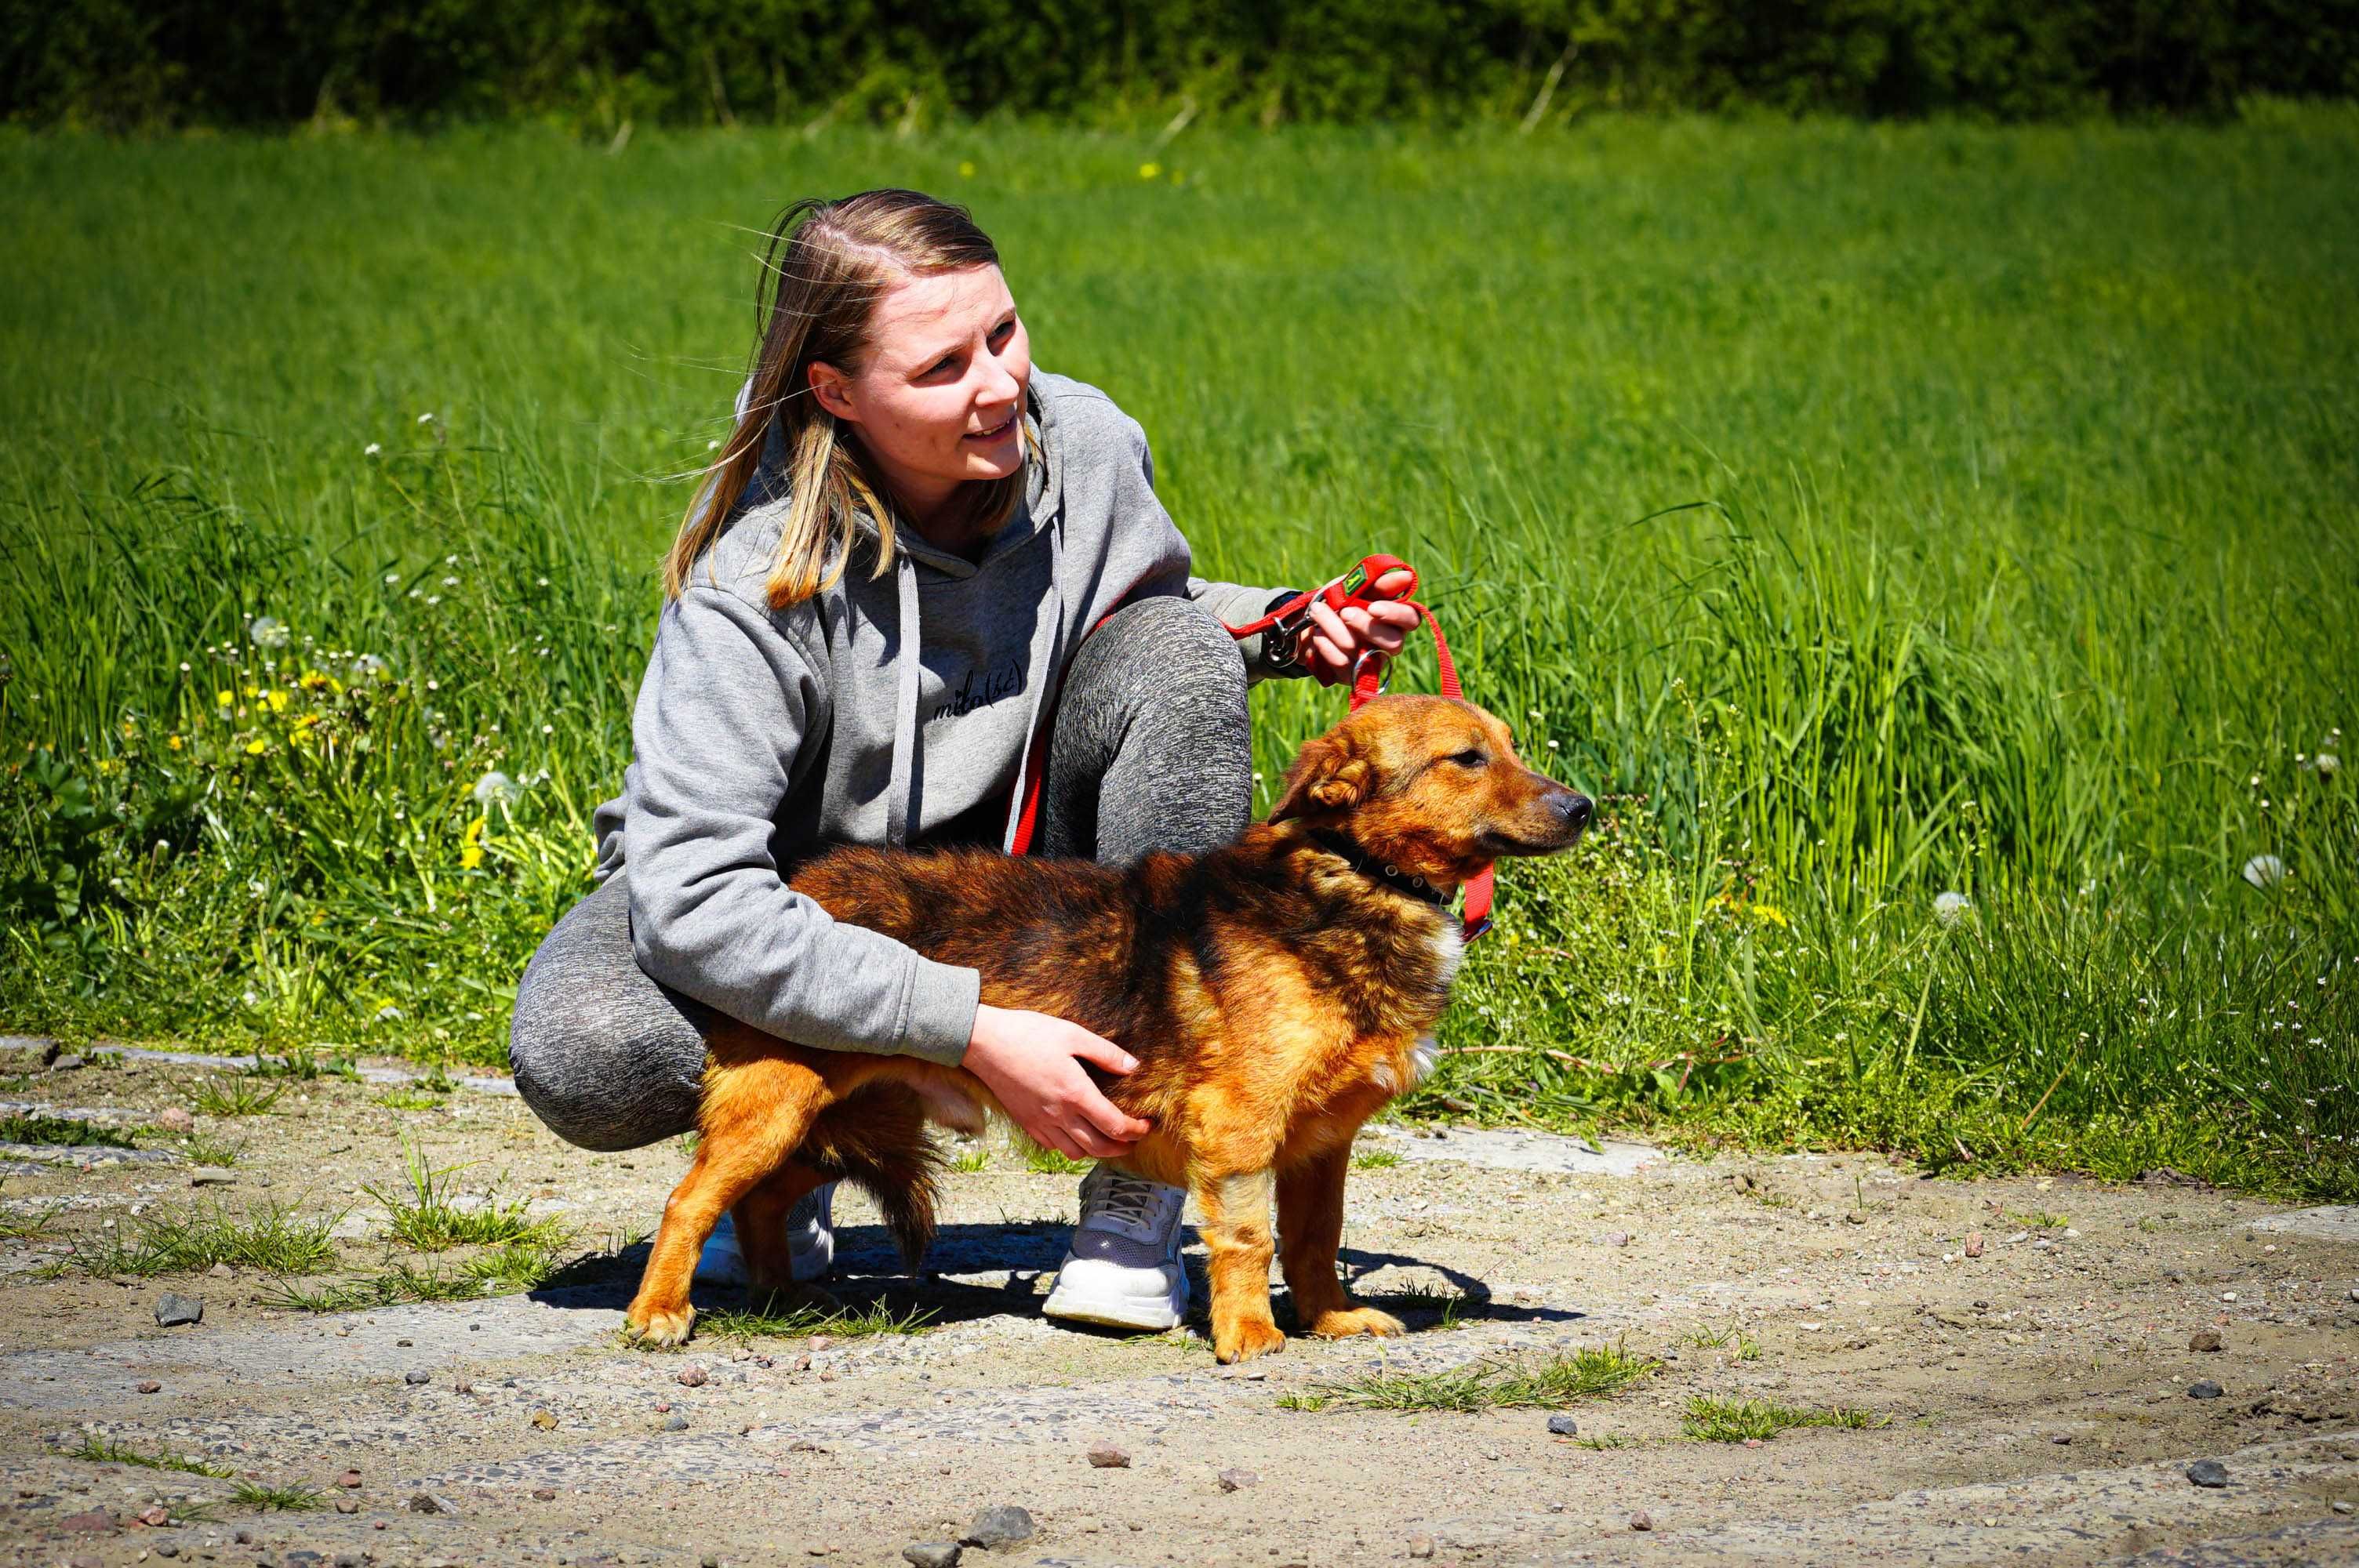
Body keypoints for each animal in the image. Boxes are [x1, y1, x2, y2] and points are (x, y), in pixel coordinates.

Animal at [623, 693, 1585, 1358]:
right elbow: (1250, 1236)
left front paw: (1330, 1319)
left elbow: (1314, 1242)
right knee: (689, 1198)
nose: (1584, 807)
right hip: (779, 1104)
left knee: (760, 1197)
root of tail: (797, 884)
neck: (1353, 877)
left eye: (1511, 747)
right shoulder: (1242, 1130)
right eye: (1467, 759)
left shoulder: (1321, 1145)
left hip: (829, 1118)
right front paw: (1248, 1335)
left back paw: (781, 1295)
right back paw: (660, 1311)